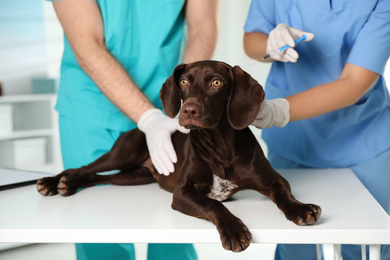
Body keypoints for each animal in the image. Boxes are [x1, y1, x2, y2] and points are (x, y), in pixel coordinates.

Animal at [36, 60, 320, 252]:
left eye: (216, 82)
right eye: (184, 82)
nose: (189, 111)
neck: (221, 147)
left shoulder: (274, 180)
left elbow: (284, 194)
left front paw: (300, 208)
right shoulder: (182, 192)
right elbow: (214, 204)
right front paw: (233, 229)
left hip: (134, 176)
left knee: (100, 177)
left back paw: (66, 184)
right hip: (124, 153)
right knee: (84, 167)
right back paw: (55, 182)